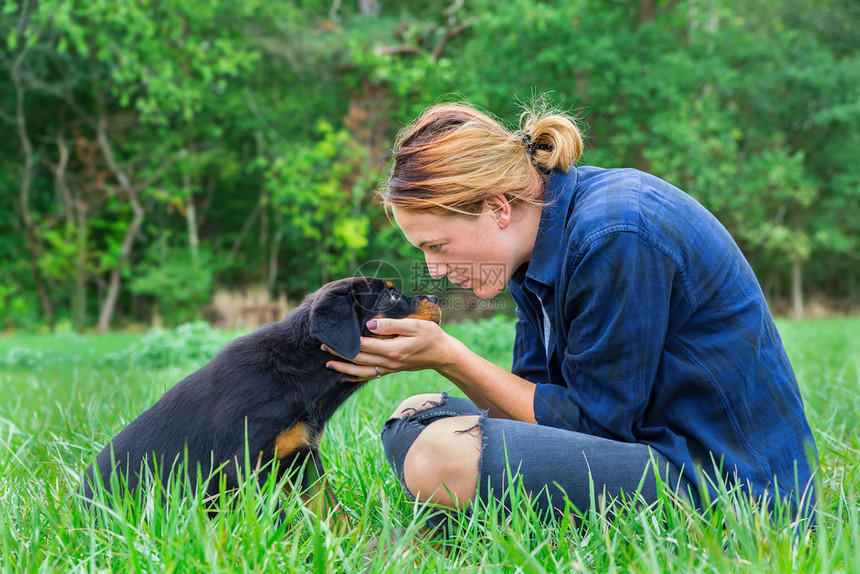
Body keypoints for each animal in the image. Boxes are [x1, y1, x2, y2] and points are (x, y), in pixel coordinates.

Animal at [83, 276, 440, 520]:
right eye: (392, 295)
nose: (436, 296)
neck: (300, 370)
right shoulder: (242, 469)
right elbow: (279, 520)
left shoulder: (302, 457)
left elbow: (330, 509)